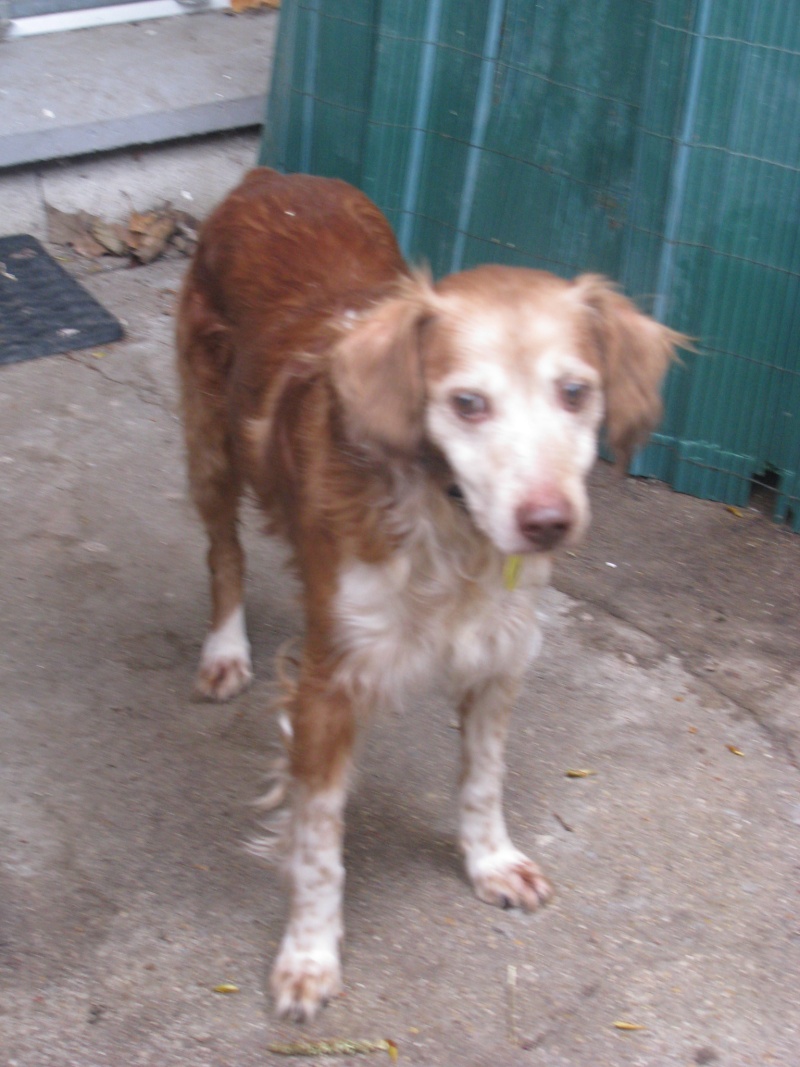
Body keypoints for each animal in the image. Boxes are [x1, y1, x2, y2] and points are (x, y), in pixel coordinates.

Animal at [177, 168, 682, 1024]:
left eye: (575, 392)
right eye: (467, 403)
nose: (548, 522)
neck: (453, 525)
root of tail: (272, 177)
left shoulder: (501, 650)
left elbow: (482, 778)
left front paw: (490, 861)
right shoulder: (330, 683)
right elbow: (318, 845)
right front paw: (308, 956)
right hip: (209, 441)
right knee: (224, 551)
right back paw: (224, 651)